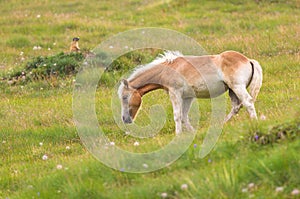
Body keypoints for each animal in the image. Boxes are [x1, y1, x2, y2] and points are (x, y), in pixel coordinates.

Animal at [117, 50, 262, 134]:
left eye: (124, 97)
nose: (125, 119)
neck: (168, 69)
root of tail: (248, 60)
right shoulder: (187, 97)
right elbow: (184, 116)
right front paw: (192, 132)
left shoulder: (175, 94)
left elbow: (177, 115)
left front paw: (178, 135)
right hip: (232, 91)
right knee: (236, 107)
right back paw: (221, 124)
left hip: (237, 87)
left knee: (248, 102)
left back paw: (254, 121)